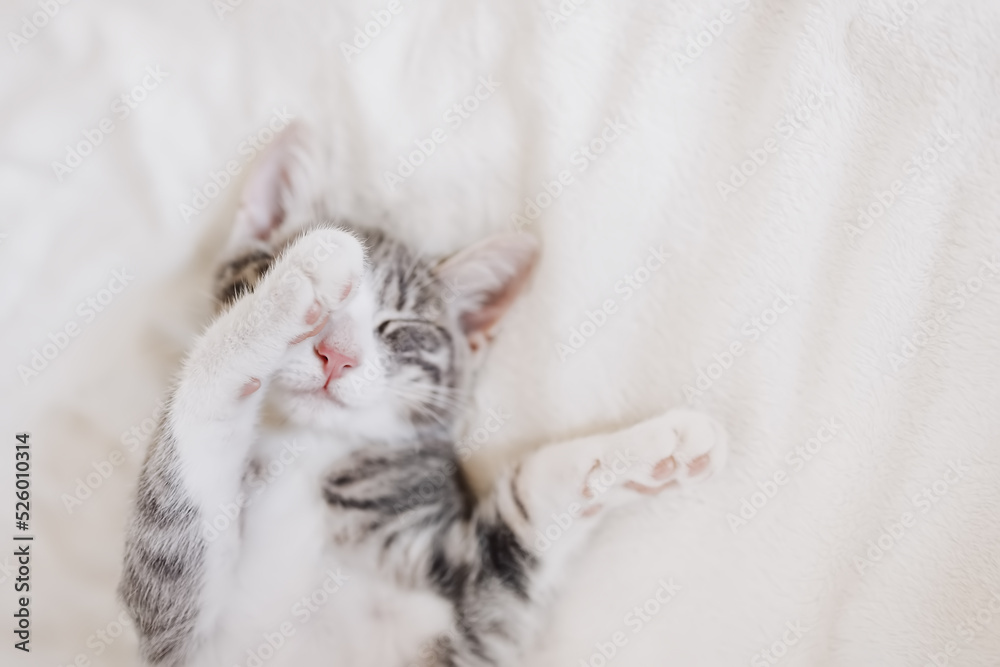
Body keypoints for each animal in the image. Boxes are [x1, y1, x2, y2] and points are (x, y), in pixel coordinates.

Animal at [119, 129, 728, 667]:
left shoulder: (469, 614)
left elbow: (523, 507)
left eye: (398, 326)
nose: (337, 356)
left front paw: (649, 449)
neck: (308, 452)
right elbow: (197, 422)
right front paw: (292, 286)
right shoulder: (181, 630)